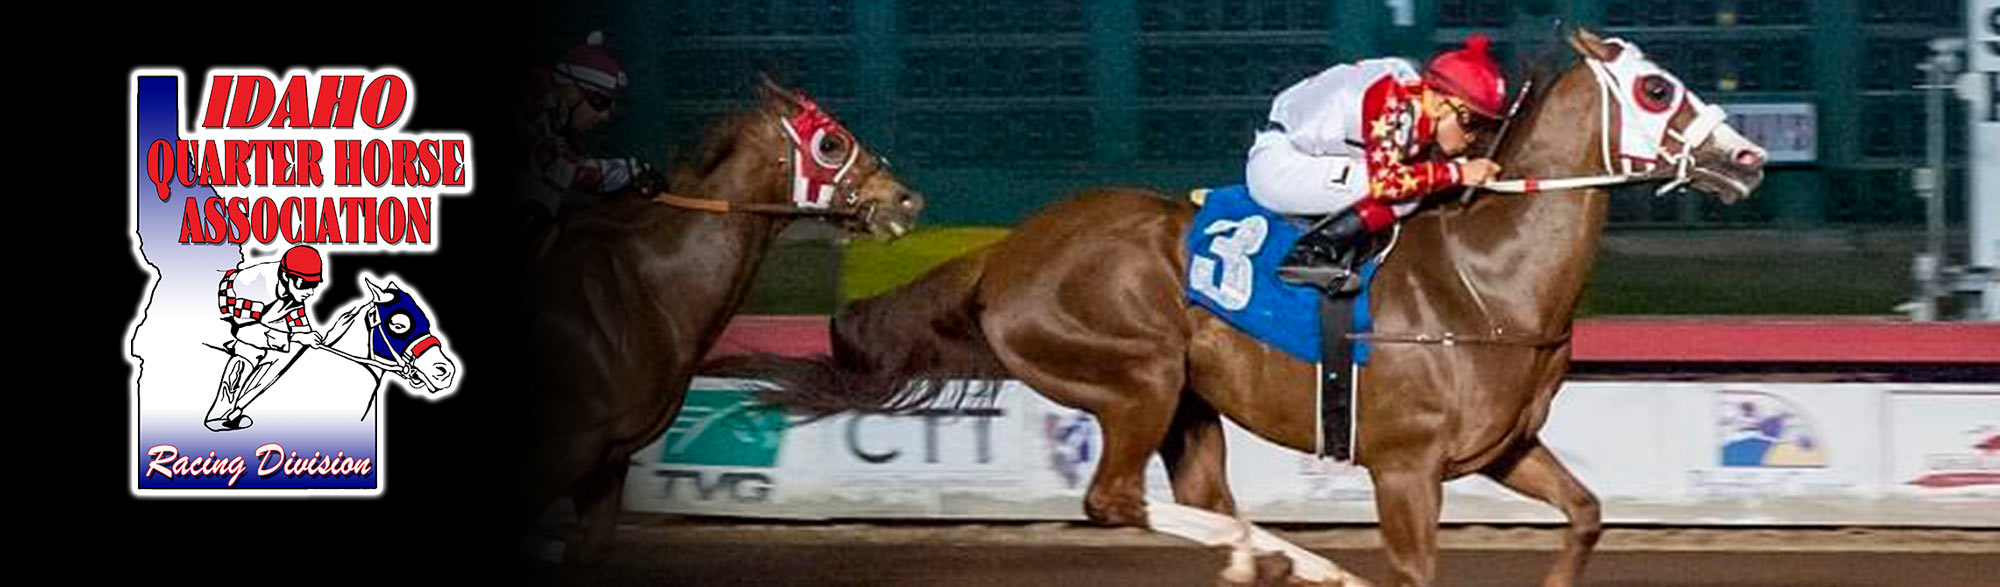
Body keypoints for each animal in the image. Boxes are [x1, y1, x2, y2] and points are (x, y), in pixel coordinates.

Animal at [714, 29, 1766, 587]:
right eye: (1657, 87)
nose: (1749, 157)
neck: (1486, 275)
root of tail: (1003, 254)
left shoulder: (1504, 446)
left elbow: (1586, 513)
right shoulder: (1404, 469)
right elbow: (1414, 568)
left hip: (1191, 403)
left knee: (1201, 497)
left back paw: (1274, 558)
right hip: (1133, 375)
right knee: (1115, 499)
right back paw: (1269, 557)